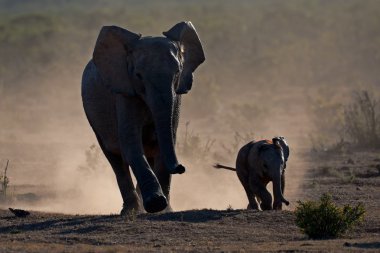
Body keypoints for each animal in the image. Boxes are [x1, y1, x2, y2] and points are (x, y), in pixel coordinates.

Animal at [81, 21, 205, 213]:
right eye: (138, 75)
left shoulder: (176, 97)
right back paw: (131, 210)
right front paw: (156, 204)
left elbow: (165, 141)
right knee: (116, 160)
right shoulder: (124, 91)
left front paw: (164, 210)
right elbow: (131, 143)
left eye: (177, 73)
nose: (181, 167)